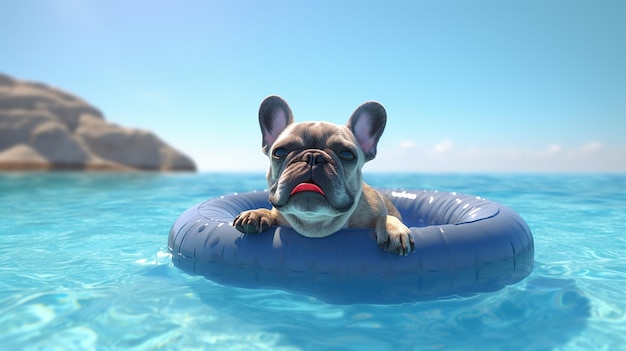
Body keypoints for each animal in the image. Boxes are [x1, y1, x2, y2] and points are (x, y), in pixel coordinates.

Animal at [232, 96, 412, 256]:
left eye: (347, 154)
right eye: (280, 152)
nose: (313, 156)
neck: (315, 224)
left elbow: (386, 217)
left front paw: (393, 228)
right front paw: (257, 213)